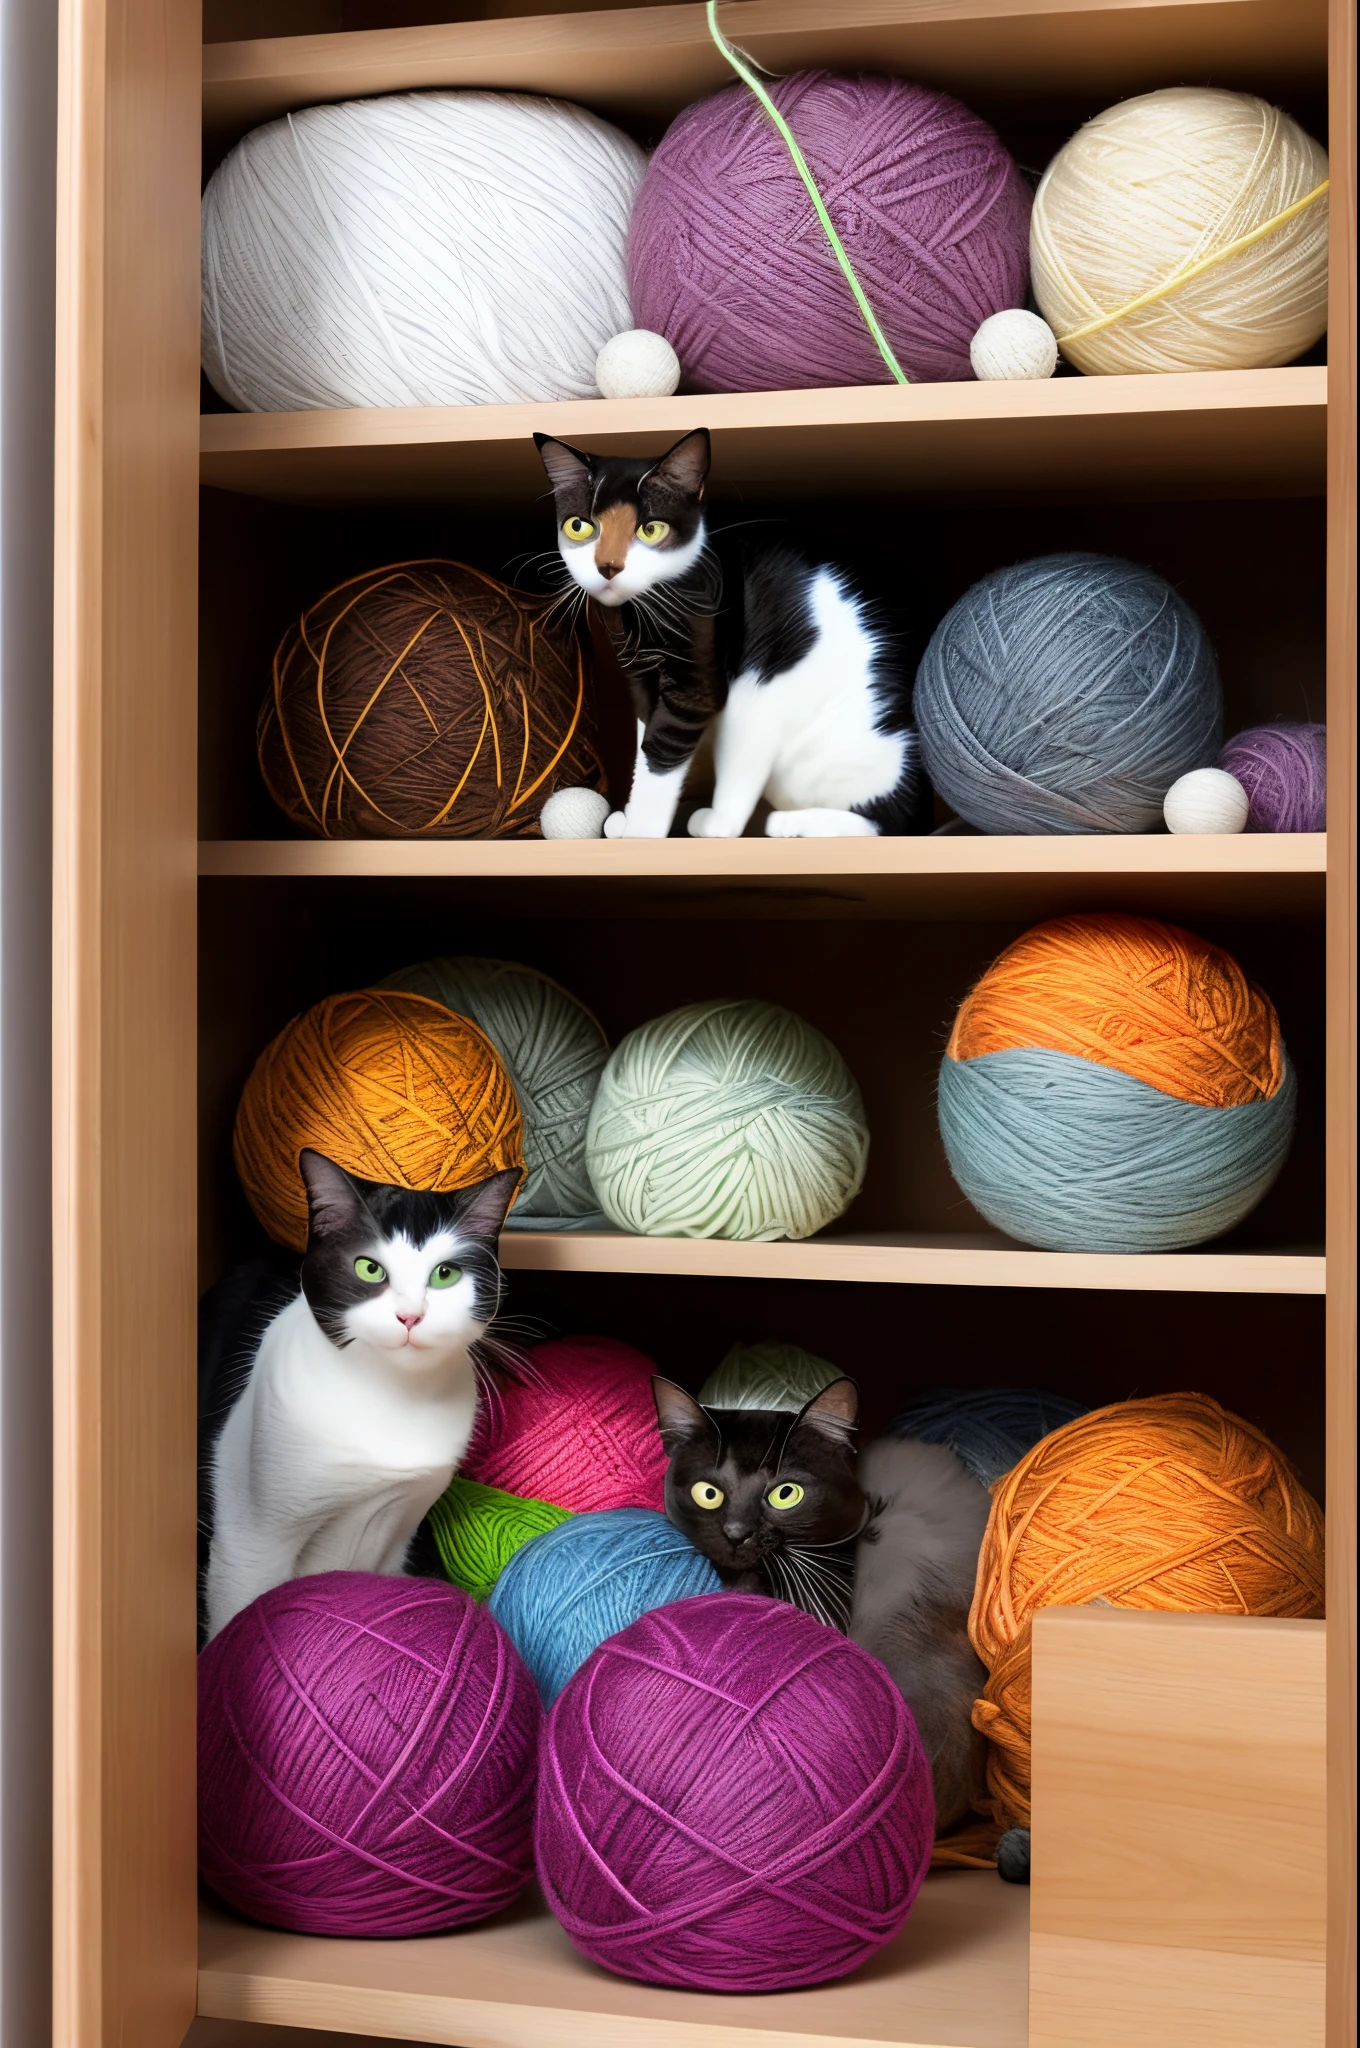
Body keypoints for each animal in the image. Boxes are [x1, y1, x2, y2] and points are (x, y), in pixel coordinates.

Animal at [197, 1155, 520, 1646]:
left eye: (445, 1274)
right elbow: (238, 1611)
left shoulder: (403, 1522)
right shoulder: (250, 1541)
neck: (391, 1396)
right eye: (370, 1269)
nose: (410, 1316)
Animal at [532, 428, 925, 843]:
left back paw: (771, 824)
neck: (638, 617)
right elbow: (644, 741)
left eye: (650, 529)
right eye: (580, 526)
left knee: (885, 823)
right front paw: (629, 818)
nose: (607, 567)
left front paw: (643, 832)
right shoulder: (641, 679)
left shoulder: (696, 683)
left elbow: (663, 748)